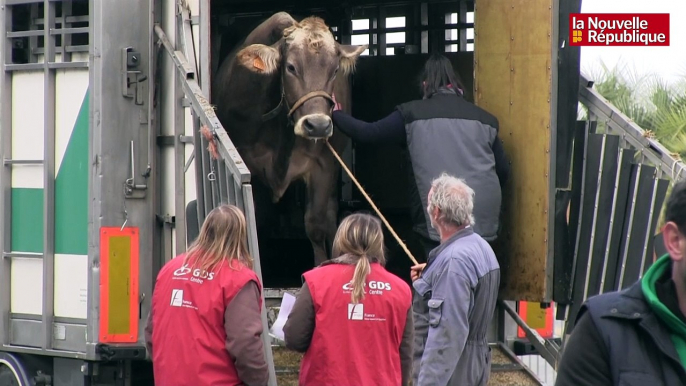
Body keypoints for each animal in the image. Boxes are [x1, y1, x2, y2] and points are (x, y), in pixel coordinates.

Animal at [214, 12, 368, 266]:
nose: (318, 125)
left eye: (335, 70)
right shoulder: (250, 168)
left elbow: (315, 224)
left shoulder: (323, 166)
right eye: (291, 67)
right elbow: (255, 221)